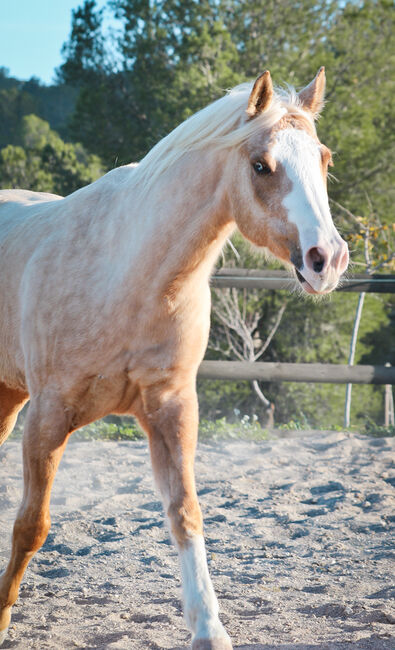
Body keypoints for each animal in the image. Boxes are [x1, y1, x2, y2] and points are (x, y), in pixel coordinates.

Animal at [0, 68, 350, 644]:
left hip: (8, 394)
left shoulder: (172, 408)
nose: (328, 259)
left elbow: (186, 514)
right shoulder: (48, 417)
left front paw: (209, 629)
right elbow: (32, 524)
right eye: (261, 165)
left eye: (323, 158)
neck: (128, 273)